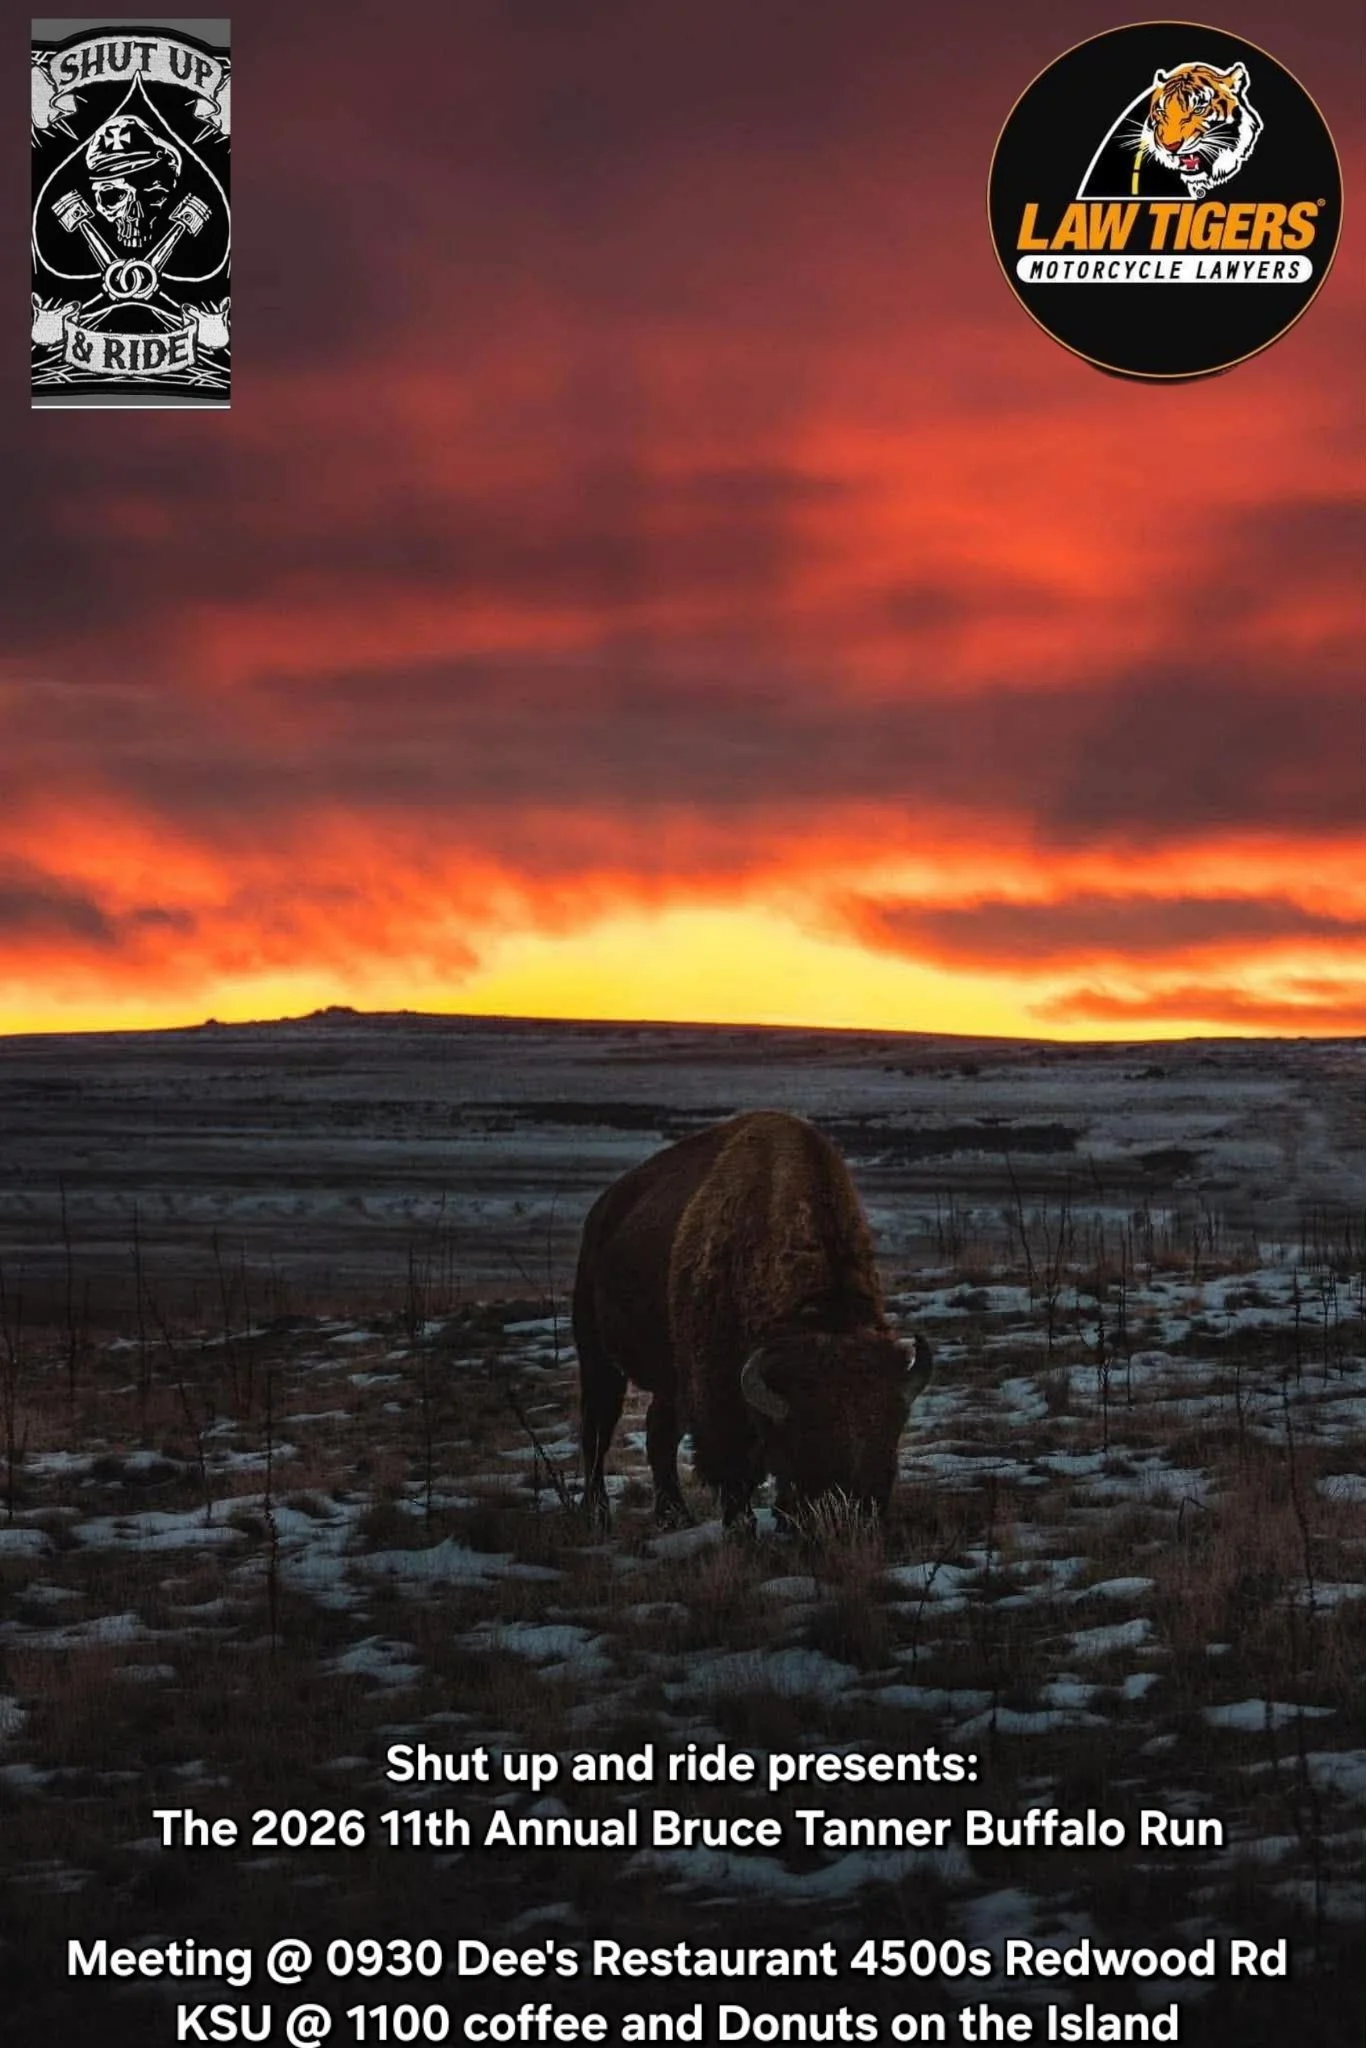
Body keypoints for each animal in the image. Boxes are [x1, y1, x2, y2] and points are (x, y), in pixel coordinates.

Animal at [573, 1110, 932, 1528]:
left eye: (891, 1431)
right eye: (805, 1440)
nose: (852, 1511)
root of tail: (603, 1210)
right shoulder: (716, 1394)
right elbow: (733, 1473)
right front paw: (741, 1527)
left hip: (668, 1377)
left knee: (657, 1430)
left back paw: (675, 1514)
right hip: (597, 1354)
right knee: (598, 1428)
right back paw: (597, 1512)